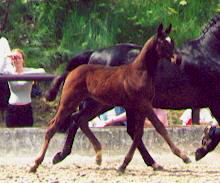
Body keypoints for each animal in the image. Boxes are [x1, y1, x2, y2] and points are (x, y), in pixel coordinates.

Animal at [30, 24, 190, 173]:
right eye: (163, 43)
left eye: (172, 41)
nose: (178, 59)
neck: (139, 72)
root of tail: (70, 72)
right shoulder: (144, 104)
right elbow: (159, 127)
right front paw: (183, 156)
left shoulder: (139, 106)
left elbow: (138, 133)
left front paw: (125, 165)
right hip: (70, 102)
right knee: (53, 126)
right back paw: (36, 164)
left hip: (97, 105)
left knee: (80, 119)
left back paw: (98, 156)